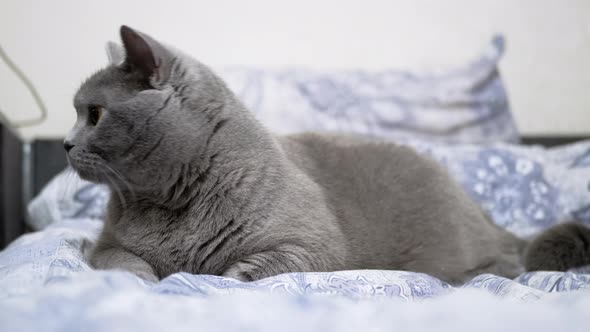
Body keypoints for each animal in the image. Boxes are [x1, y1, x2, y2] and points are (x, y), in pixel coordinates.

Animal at [65, 26, 590, 286]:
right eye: (77, 113)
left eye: (94, 114)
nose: (67, 143)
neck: (172, 201)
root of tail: (475, 206)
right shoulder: (106, 244)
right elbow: (120, 262)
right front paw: (148, 279)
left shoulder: (314, 246)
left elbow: (254, 268)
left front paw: (219, 276)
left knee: (508, 264)